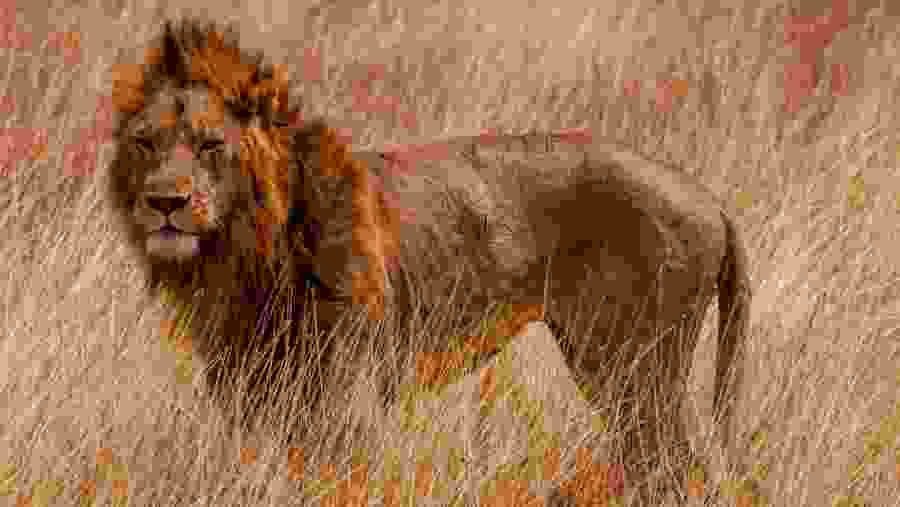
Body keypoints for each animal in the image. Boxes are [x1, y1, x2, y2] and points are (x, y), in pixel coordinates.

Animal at [107, 17, 750, 502]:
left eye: (210, 144)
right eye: (145, 143)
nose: (165, 202)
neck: (245, 258)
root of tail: (712, 201)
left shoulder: (348, 403)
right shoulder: (254, 397)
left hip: (633, 370)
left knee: (675, 470)